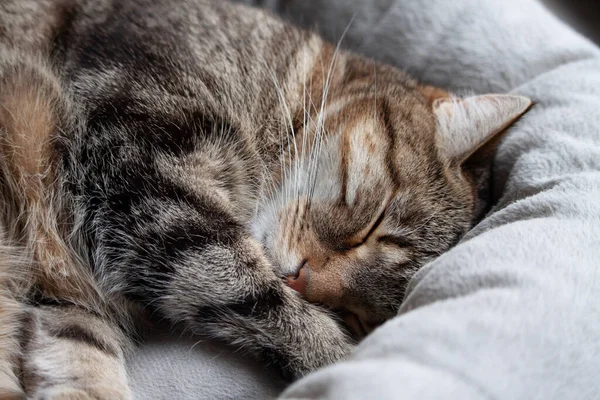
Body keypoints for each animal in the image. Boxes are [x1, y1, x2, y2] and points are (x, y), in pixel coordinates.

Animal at [0, 0, 528, 396]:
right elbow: (264, 299)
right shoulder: (141, 163)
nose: (302, 282)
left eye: (360, 315)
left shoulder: (74, 293)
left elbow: (77, 355)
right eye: (372, 226)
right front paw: (339, 356)